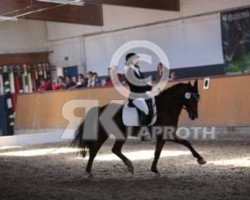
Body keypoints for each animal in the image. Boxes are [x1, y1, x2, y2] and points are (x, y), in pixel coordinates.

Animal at [71, 79, 206, 176]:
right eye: (191, 99)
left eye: (198, 98)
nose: (194, 116)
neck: (166, 107)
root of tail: (102, 108)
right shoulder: (168, 134)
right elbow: (186, 142)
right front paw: (200, 159)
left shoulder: (162, 137)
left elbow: (157, 153)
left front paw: (154, 169)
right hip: (105, 134)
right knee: (95, 150)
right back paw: (88, 172)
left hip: (120, 134)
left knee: (115, 150)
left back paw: (129, 166)